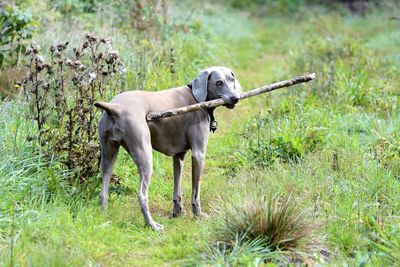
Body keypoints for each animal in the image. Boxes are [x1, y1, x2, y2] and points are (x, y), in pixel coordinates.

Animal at [95, 66, 242, 231]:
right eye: (218, 82)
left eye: (231, 79)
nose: (235, 98)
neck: (196, 98)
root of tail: (115, 107)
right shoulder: (198, 154)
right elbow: (196, 192)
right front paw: (198, 214)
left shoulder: (178, 155)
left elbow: (177, 188)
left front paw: (177, 212)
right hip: (144, 155)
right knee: (142, 195)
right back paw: (152, 225)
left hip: (108, 154)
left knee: (104, 188)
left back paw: (105, 216)